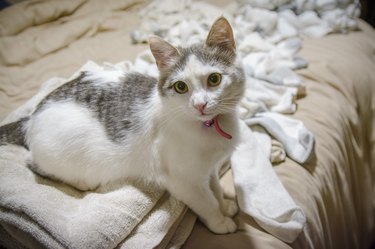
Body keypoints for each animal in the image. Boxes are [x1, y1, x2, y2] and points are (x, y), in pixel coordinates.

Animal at [0, 17, 247, 233]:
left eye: (214, 79)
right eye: (180, 87)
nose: (200, 104)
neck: (208, 126)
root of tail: (32, 116)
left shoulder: (209, 169)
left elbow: (215, 188)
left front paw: (225, 205)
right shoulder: (184, 180)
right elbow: (206, 201)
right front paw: (219, 221)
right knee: (33, 163)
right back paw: (81, 182)